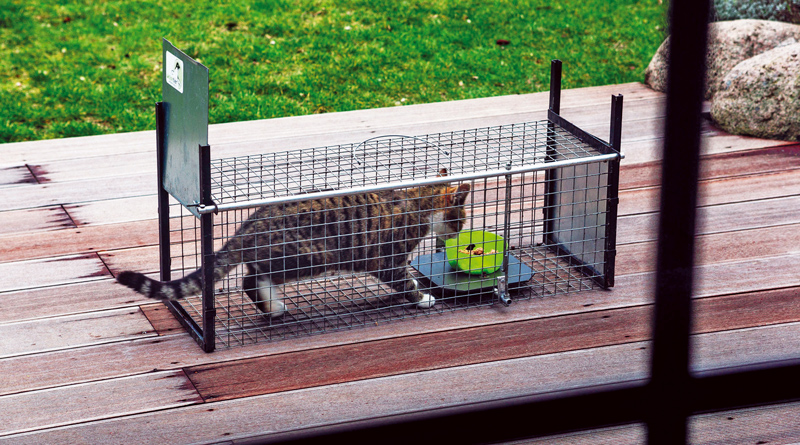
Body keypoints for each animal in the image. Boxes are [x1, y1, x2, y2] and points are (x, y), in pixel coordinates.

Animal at [118, 169, 468, 316]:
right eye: (461, 220)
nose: (458, 234)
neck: (418, 199)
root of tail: (248, 225)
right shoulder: (387, 261)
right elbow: (406, 281)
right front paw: (422, 298)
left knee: (253, 277)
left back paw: (272, 308)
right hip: (311, 256)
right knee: (250, 279)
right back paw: (273, 307)